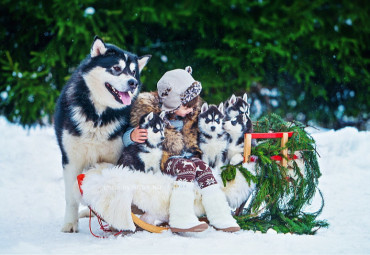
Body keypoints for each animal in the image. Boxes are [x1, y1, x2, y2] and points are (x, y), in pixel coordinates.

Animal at [53, 36, 150, 233]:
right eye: (117, 68)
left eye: (133, 72)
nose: (133, 83)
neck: (98, 115)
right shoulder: (71, 159)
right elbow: (70, 197)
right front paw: (70, 223)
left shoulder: (115, 157)